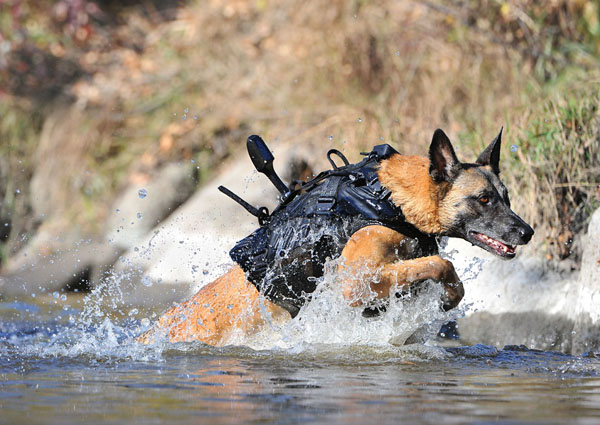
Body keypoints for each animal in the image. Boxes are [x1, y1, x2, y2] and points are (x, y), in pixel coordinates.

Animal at [137, 128, 536, 344]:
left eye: (506, 198)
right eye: (483, 199)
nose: (528, 232)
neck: (389, 198)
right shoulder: (355, 282)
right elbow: (441, 263)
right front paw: (450, 296)